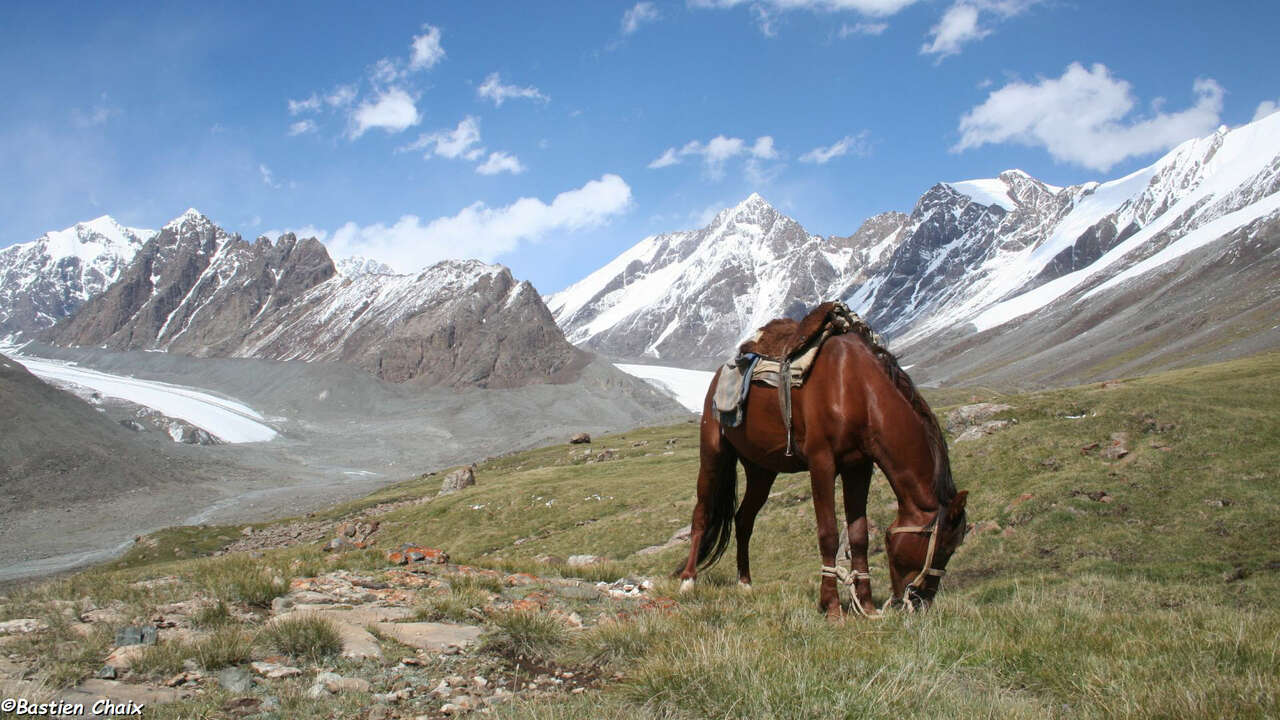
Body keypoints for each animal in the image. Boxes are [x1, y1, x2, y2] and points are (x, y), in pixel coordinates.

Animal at [675, 324, 962, 609]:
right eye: (944, 548)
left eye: (953, 549)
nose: (921, 601)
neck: (858, 390)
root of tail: (718, 376)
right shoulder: (821, 462)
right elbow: (829, 534)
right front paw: (831, 606)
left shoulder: (859, 467)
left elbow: (859, 535)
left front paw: (865, 605)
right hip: (713, 455)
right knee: (701, 515)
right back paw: (688, 581)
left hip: (761, 471)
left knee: (744, 519)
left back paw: (745, 583)